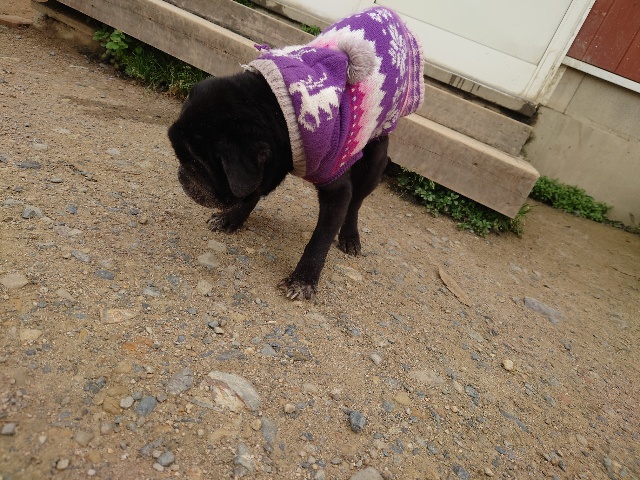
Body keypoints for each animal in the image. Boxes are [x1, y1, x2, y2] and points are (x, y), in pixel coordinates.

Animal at [168, 6, 424, 299]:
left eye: (196, 166)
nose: (181, 175)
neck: (281, 111)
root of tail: (390, 15)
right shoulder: (271, 160)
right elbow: (252, 192)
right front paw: (231, 218)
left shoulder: (336, 190)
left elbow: (320, 239)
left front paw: (303, 280)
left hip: (375, 158)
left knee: (357, 202)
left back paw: (350, 236)